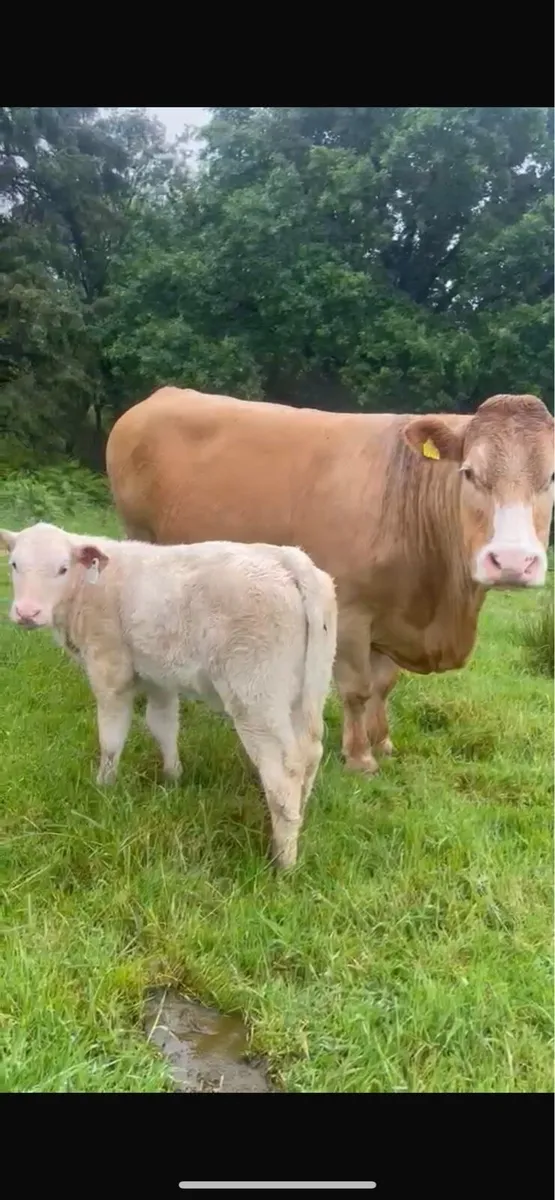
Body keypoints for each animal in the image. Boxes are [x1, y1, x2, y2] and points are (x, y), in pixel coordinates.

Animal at [1, 522, 337, 869]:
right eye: (14, 564)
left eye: (62, 568)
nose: (27, 612)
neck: (90, 586)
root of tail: (288, 559)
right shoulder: (157, 675)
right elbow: (163, 725)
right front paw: (173, 777)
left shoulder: (109, 668)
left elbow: (111, 738)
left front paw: (104, 786)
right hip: (308, 690)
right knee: (309, 755)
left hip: (256, 696)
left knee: (284, 772)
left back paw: (283, 862)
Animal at [105, 388, 554, 775]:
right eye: (469, 473)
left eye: (551, 478)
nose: (513, 561)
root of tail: (162, 394)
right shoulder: (351, 612)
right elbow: (357, 688)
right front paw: (360, 757)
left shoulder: (395, 615)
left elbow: (384, 685)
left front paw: (383, 742)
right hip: (139, 536)